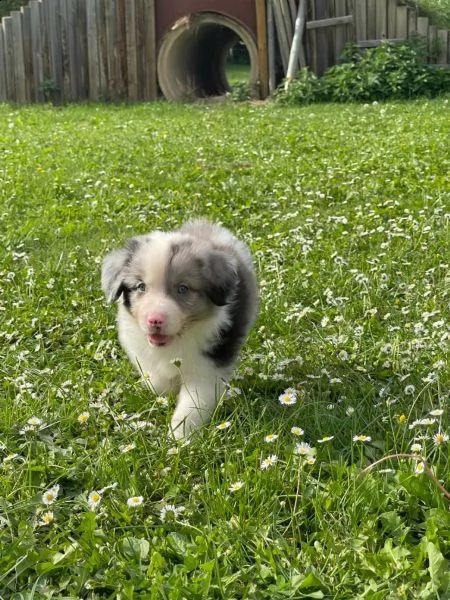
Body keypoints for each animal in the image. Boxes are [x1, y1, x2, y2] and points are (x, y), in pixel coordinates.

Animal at [100, 218, 258, 438]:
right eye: (141, 287)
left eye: (183, 289)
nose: (155, 320)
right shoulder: (140, 349)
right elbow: (157, 381)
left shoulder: (208, 366)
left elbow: (192, 406)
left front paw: (178, 438)